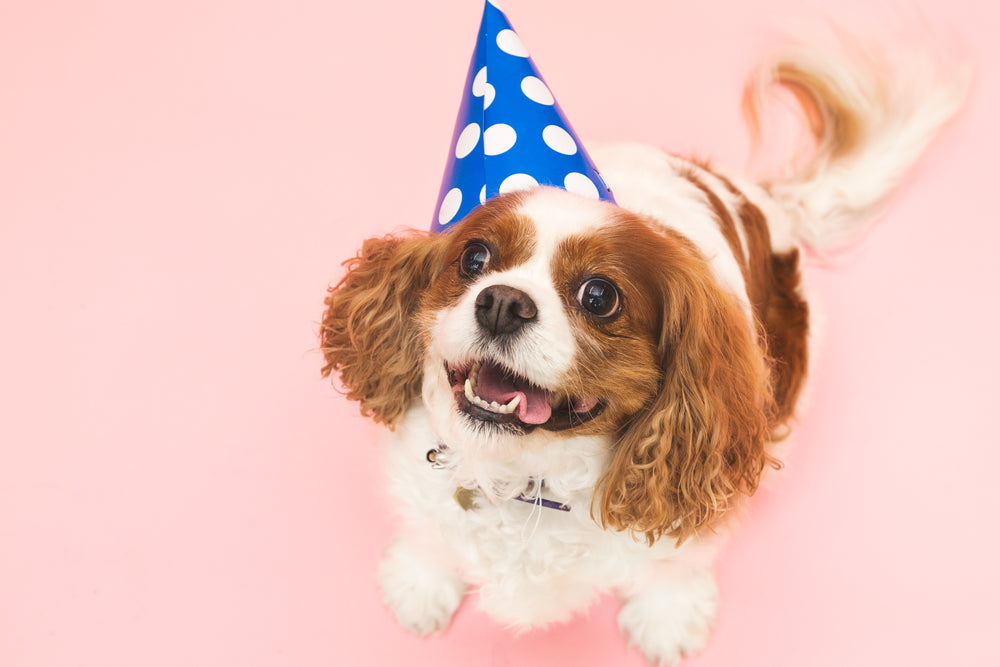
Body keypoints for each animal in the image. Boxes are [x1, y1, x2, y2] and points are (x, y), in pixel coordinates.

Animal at [316, 37, 964, 667]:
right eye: (474, 258)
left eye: (599, 296)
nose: (501, 302)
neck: (526, 478)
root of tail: (762, 199)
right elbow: (430, 534)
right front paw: (420, 582)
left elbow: (675, 563)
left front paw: (668, 619)